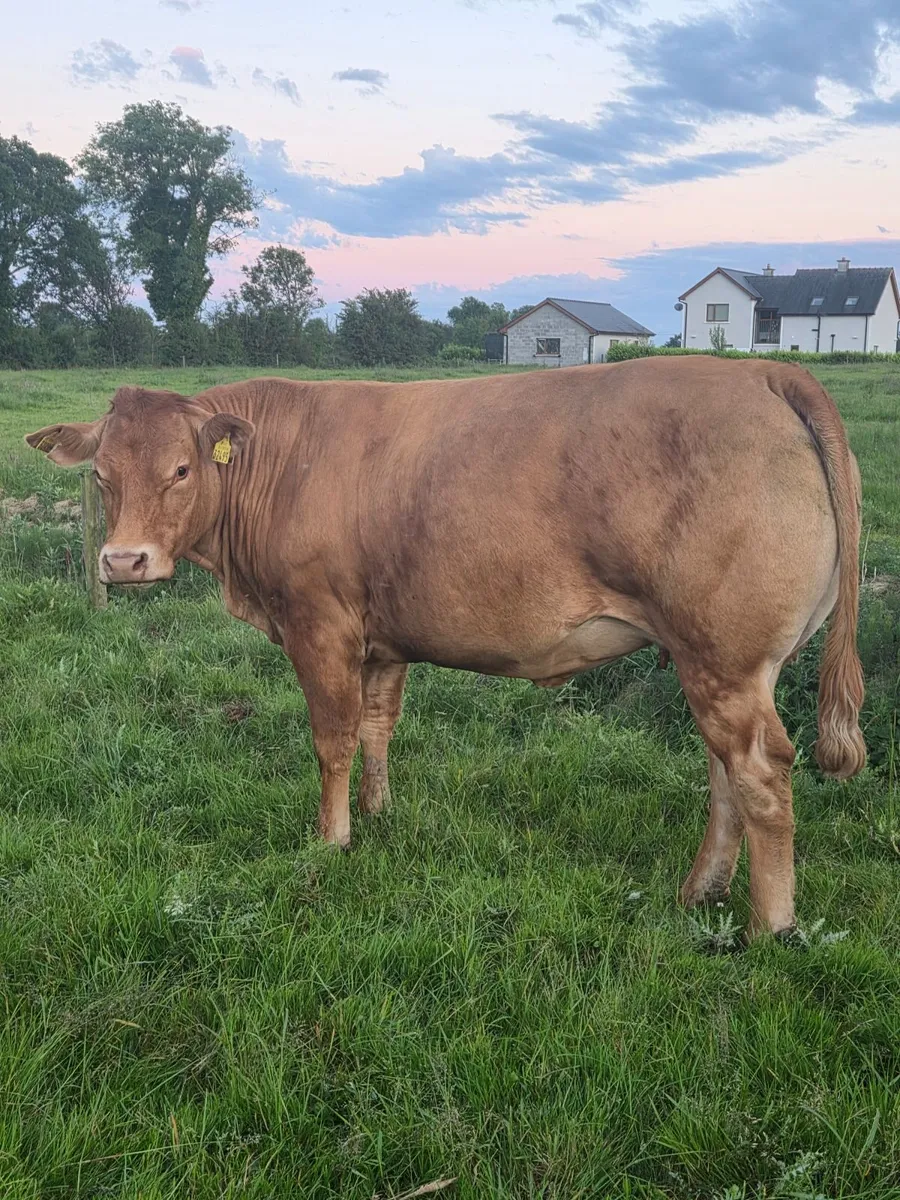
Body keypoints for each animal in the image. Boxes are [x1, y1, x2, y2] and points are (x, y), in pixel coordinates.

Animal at [27, 357, 866, 938]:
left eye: (181, 468)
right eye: (101, 473)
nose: (123, 561)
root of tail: (761, 371)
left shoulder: (318, 624)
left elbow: (332, 737)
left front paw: (331, 840)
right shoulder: (382, 636)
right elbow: (377, 726)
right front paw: (379, 810)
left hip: (724, 659)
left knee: (759, 773)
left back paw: (768, 926)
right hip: (720, 663)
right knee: (724, 772)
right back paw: (701, 891)